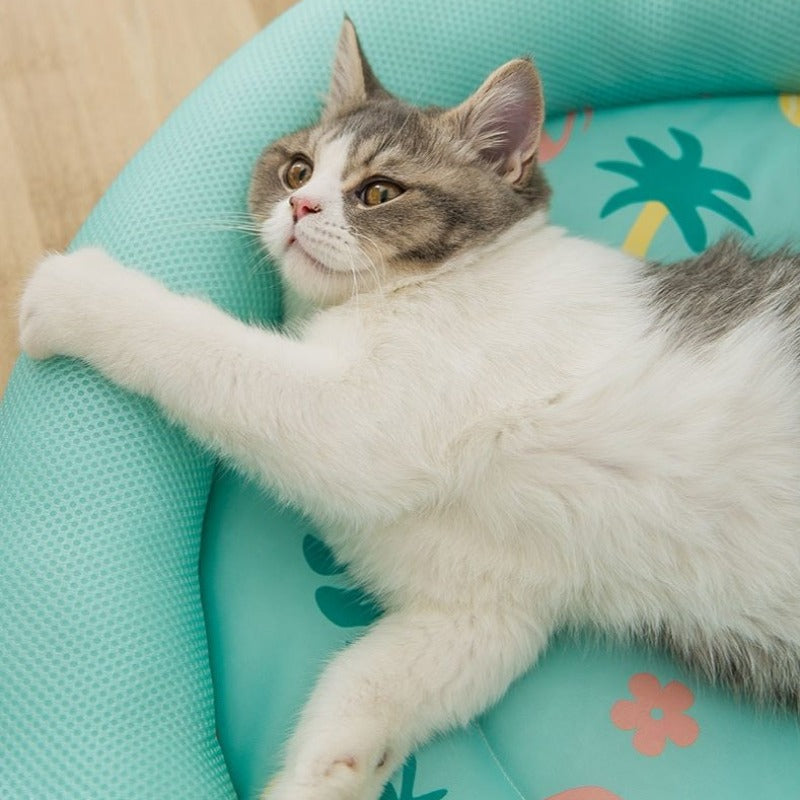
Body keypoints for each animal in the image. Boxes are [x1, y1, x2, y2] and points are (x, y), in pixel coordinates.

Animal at [17, 17, 800, 800]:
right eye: (297, 170)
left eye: (378, 191)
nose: (300, 207)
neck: (422, 288)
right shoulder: (489, 607)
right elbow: (378, 677)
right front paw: (322, 774)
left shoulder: (359, 416)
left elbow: (213, 352)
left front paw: (76, 293)